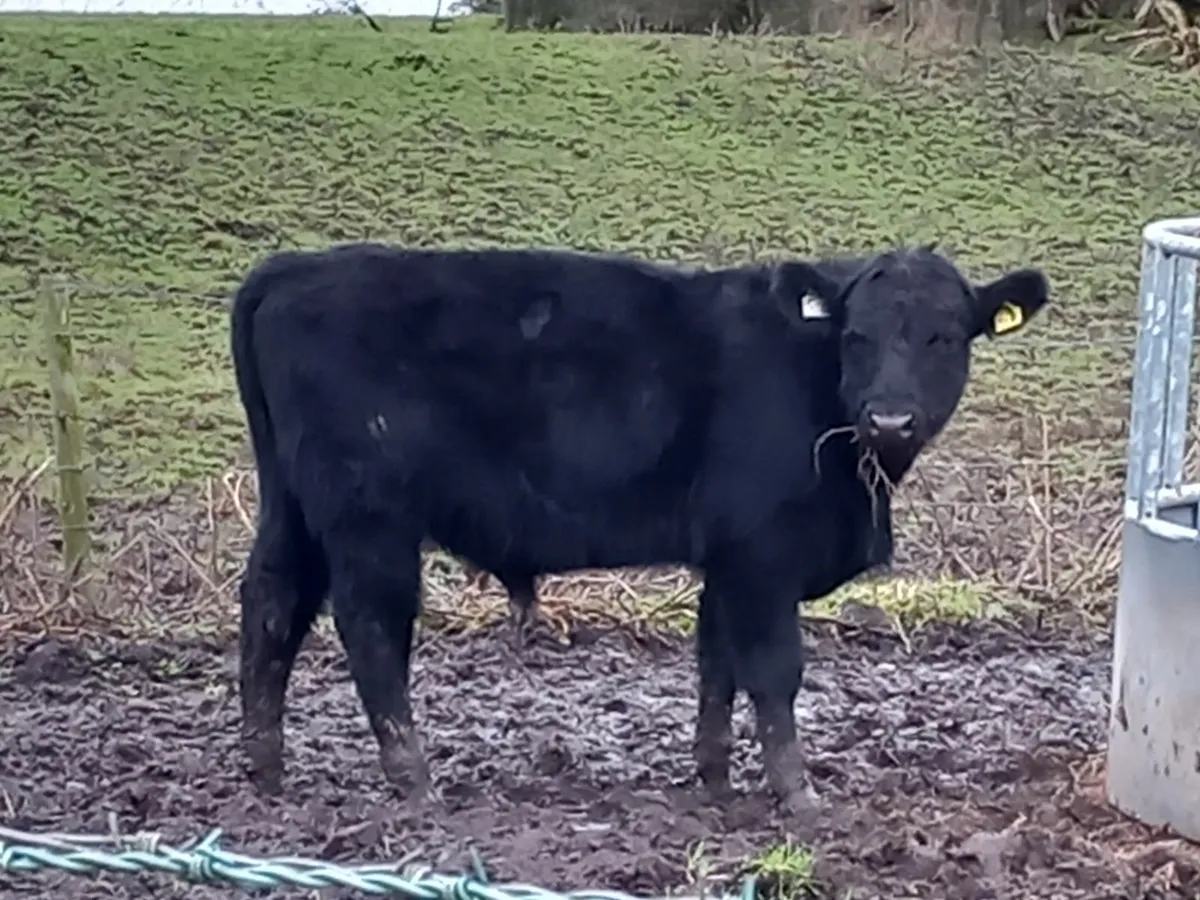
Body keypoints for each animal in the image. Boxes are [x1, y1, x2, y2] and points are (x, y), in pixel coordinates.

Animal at [229, 241, 1050, 809]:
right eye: (857, 336)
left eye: (947, 336)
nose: (890, 418)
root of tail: (294, 267)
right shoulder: (761, 553)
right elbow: (774, 670)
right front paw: (798, 794)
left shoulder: (728, 556)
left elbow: (718, 666)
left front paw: (714, 776)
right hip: (369, 519)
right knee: (370, 628)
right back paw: (414, 777)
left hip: (293, 507)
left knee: (272, 605)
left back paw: (265, 768)